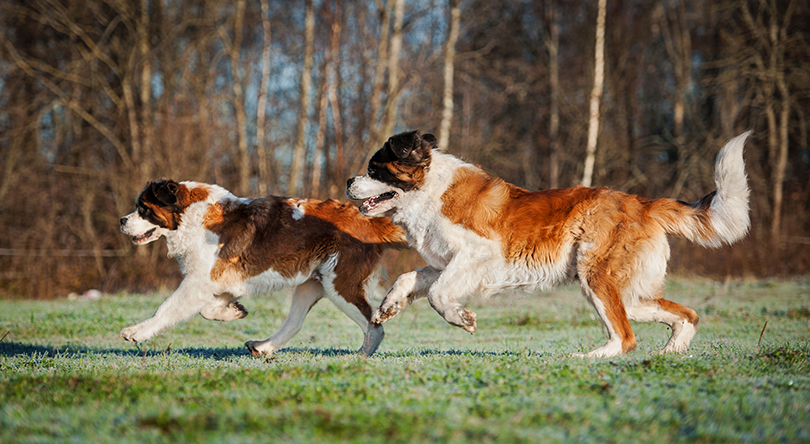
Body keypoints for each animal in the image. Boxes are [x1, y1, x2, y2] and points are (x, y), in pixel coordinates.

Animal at [117, 179, 408, 356]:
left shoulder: (198, 282)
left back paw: (361, 355)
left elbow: (167, 308)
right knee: (294, 323)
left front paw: (137, 332)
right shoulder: (223, 280)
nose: (121, 220)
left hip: (341, 285)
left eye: (143, 209)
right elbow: (208, 310)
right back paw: (264, 347)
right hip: (312, 282)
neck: (190, 216)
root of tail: (368, 220)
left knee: (374, 325)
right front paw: (234, 311)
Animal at [344, 129, 748, 358]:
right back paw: (671, 353)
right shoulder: (446, 263)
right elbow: (410, 279)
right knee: (685, 315)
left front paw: (462, 319)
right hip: (629, 294)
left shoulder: (477, 253)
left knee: (625, 336)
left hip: (597, 278)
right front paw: (388, 307)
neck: (429, 189)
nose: (349, 180)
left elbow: (437, 294)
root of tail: (641, 202)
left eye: (375, 169)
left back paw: (587, 359)